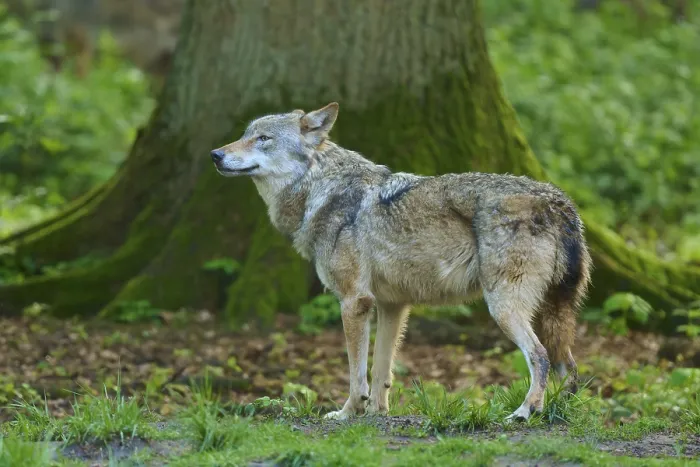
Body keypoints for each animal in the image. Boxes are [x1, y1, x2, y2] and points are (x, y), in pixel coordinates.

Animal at [210, 103, 592, 421]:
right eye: (245, 134)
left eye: (263, 139)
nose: (215, 154)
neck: (323, 191)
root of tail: (559, 203)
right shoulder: (392, 306)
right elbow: (381, 370)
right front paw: (378, 413)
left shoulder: (354, 302)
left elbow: (356, 373)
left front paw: (348, 413)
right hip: (551, 314)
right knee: (569, 367)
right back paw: (557, 412)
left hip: (503, 308)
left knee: (540, 357)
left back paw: (525, 412)